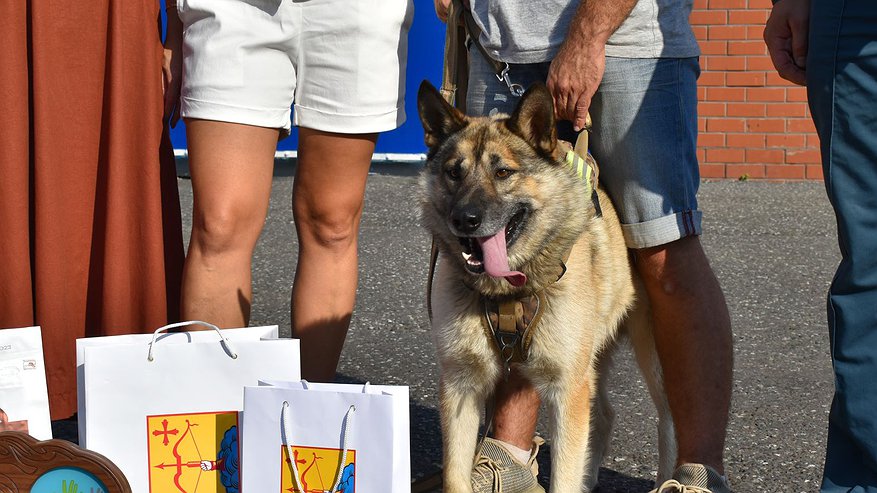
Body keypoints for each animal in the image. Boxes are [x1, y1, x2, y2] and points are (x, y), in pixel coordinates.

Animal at [418, 80, 676, 492]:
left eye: (503, 172)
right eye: (453, 173)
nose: (465, 219)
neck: (508, 291)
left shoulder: (566, 388)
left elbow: (564, 476)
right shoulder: (462, 384)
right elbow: (456, 477)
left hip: (650, 359)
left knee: (668, 419)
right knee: (604, 415)